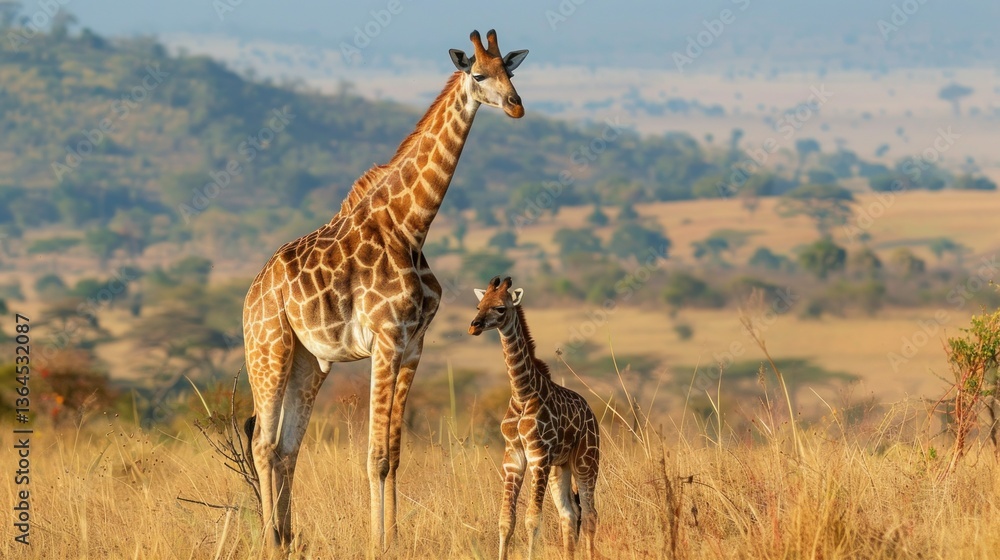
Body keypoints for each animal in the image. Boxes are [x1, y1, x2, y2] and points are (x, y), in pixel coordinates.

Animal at [241, 30, 529, 551]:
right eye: (479, 74)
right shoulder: (385, 340)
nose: (517, 106)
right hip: (268, 349)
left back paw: (290, 537)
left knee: (288, 445)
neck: (411, 226)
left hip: (308, 361)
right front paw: (379, 543)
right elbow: (374, 455)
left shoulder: (414, 345)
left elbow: (394, 454)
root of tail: (251, 294)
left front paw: (393, 536)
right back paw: (271, 540)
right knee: (263, 442)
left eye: (511, 72)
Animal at [469, 276, 600, 560]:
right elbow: (506, 520)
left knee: (590, 514)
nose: (474, 326)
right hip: (561, 467)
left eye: (500, 309)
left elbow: (532, 518)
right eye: (478, 306)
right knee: (569, 514)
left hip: (586, 462)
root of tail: (591, 413)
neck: (521, 392)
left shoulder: (539, 456)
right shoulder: (514, 457)